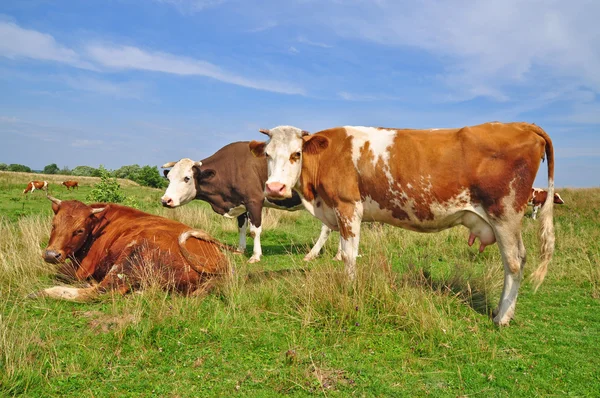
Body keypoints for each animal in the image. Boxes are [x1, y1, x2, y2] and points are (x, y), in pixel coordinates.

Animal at [30, 196, 232, 302]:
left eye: (79, 230)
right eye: (54, 224)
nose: (51, 255)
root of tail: (220, 261)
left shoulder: (83, 268)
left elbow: (61, 272)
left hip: (131, 256)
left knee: (100, 292)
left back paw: (44, 292)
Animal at [159, 141, 338, 262]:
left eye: (187, 178)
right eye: (169, 177)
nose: (165, 200)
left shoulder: (254, 201)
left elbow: (254, 230)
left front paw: (256, 256)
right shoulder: (241, 203)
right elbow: (241, 228)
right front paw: (240, 250)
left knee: (328, 229)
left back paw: (313, 254)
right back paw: (339, 256)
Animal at [250, 122, 556, 326]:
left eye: (296, 154)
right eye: (267, 154)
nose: (275, 188)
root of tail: (519, 125)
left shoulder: (348, 206)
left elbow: (349, 255)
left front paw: (348, 290)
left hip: (504, 213)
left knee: (514, 262)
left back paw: (501, 317)